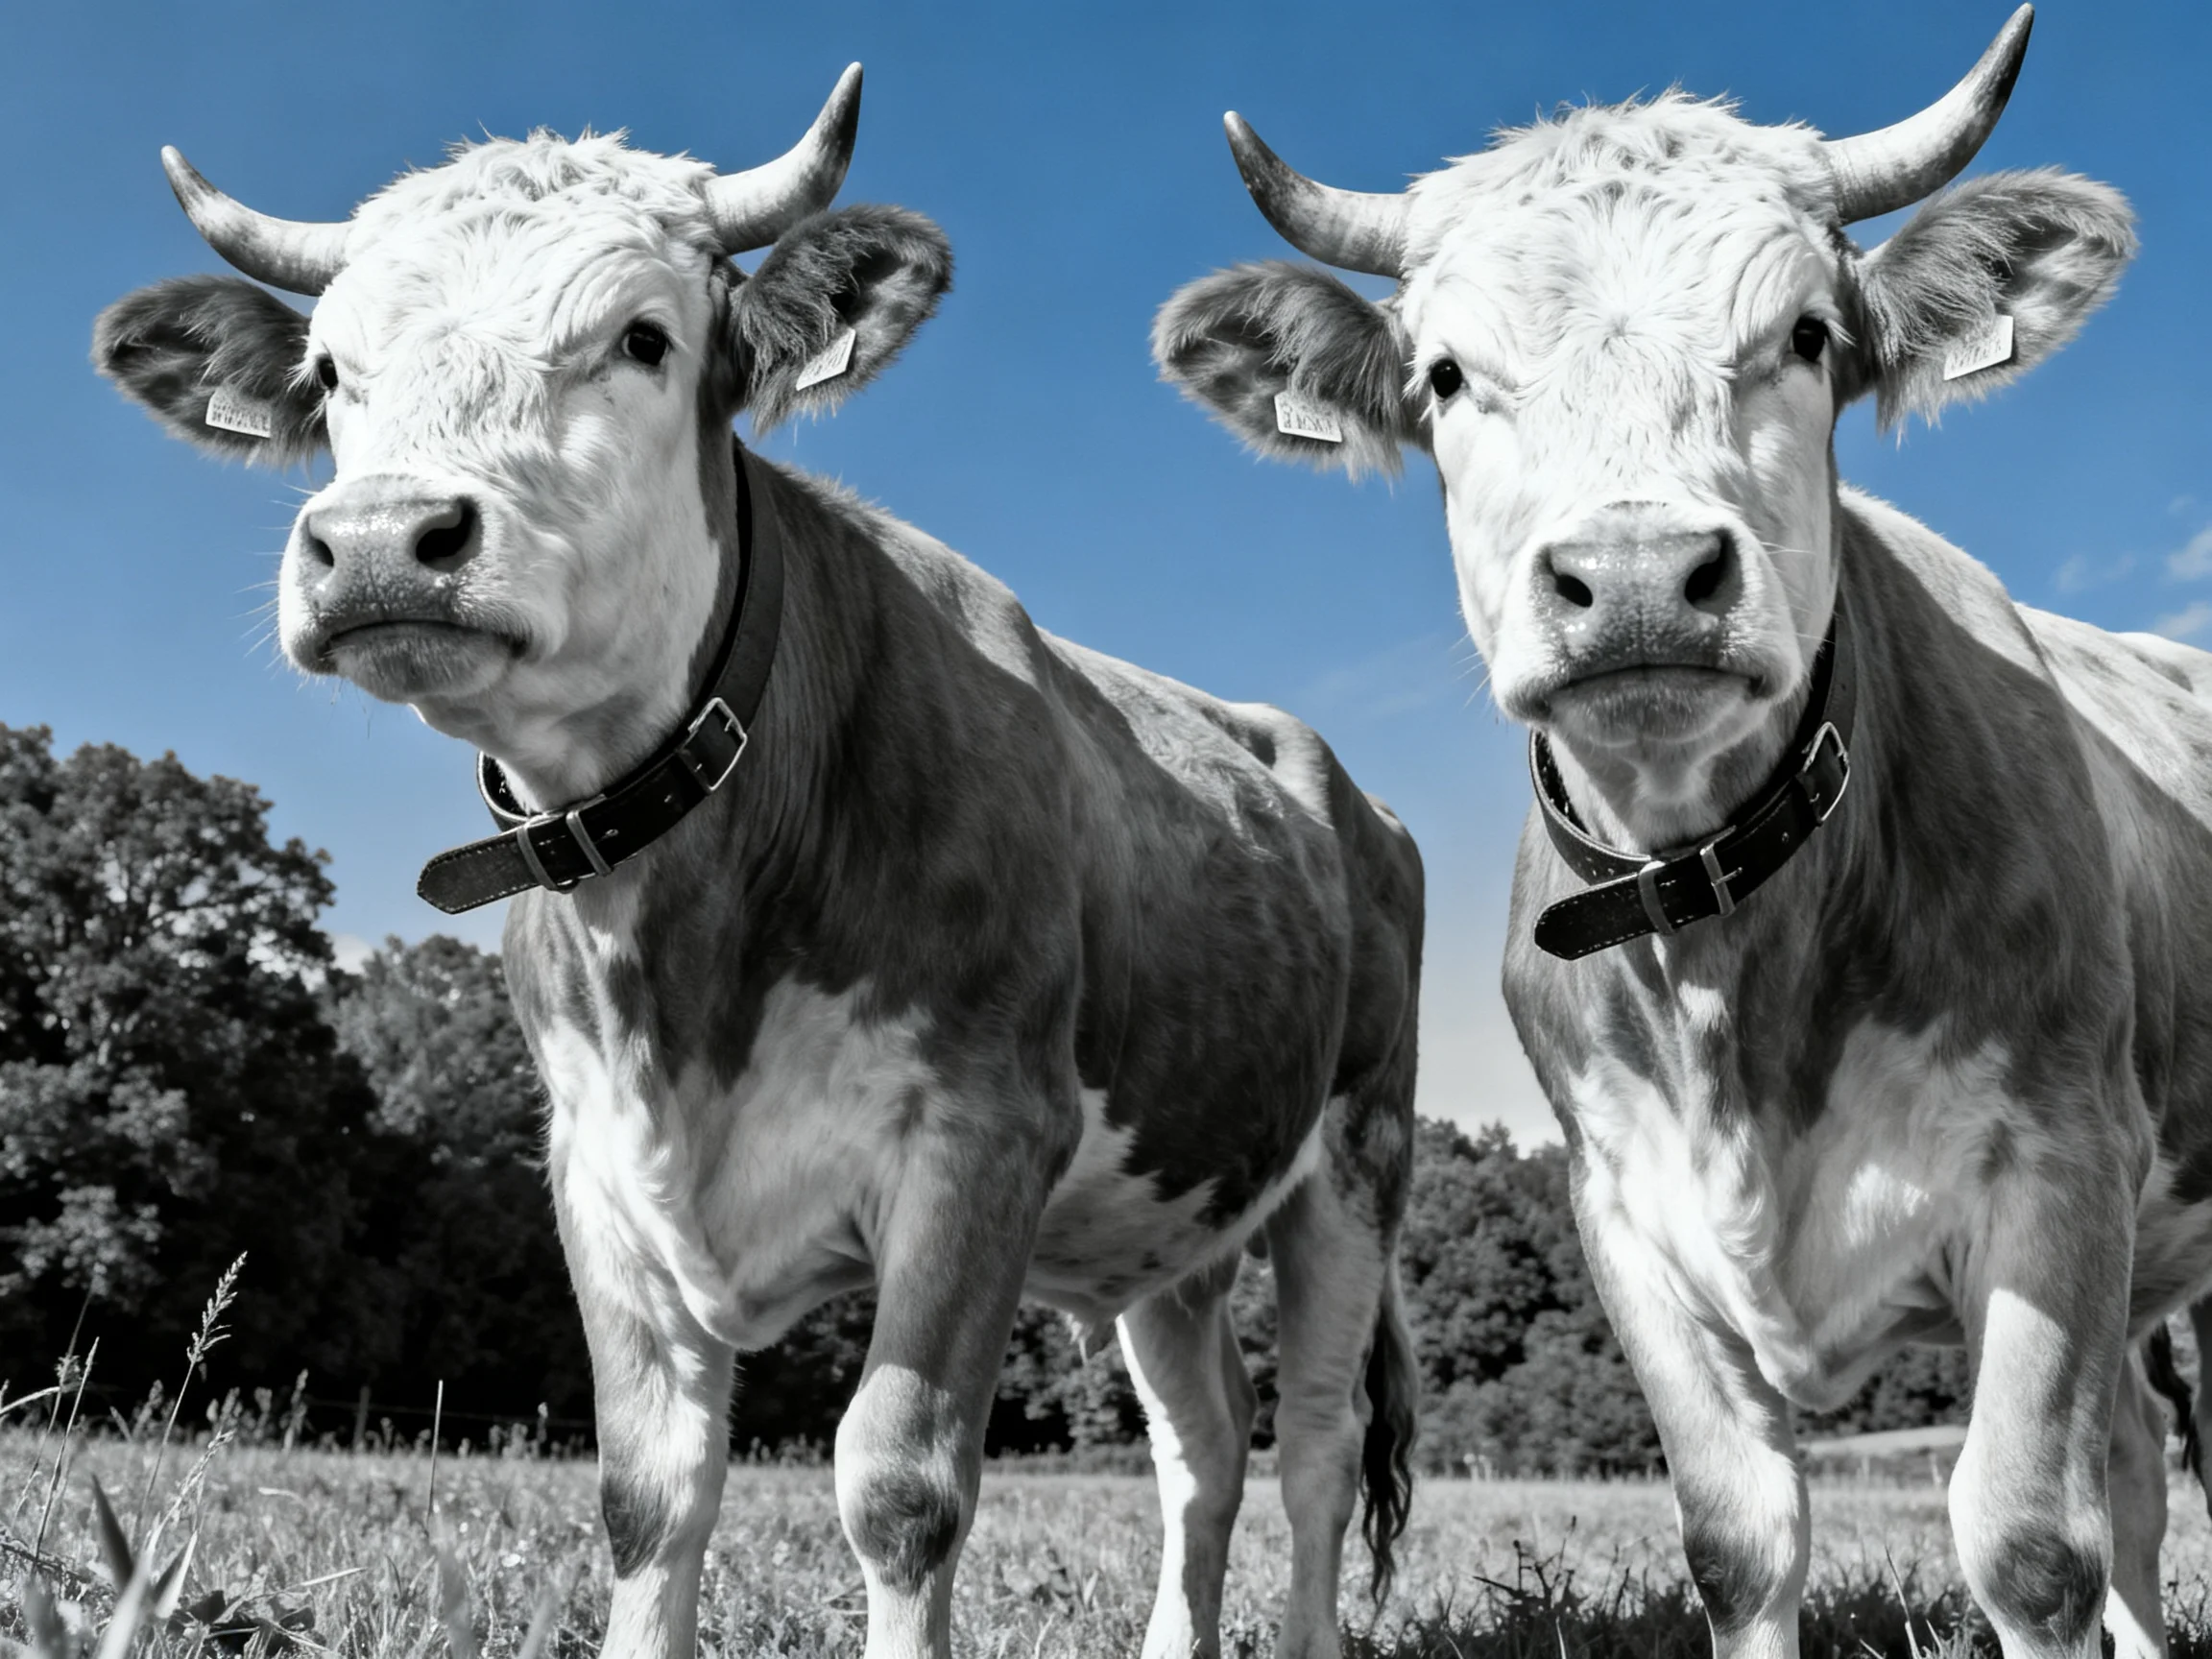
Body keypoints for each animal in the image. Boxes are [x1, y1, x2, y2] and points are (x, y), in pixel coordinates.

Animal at [93, 70, 1423, 1659]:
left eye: (642, 339)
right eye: (334, 370)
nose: (379, 542)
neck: (682, 949)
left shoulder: (983, 1134)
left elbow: (900, 1488)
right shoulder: (594, 1166)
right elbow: (647, 1496)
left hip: (1358, 1155)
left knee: (1317, 1452)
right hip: (1169, 1216)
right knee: (1204, 1444)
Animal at [1151, 9, 2203, 1656]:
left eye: (1810, 337)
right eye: (1443, 375)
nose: (1639, 575)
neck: (1731, 963)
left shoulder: (2064, 1161)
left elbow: (2034, 1541)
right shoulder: (1628, 1218)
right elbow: (1739, 1542)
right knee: (2148, 1459)